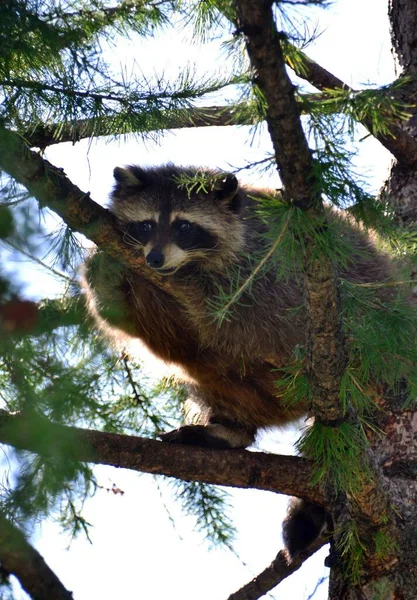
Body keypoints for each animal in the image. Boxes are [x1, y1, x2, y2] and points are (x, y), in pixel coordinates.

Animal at [81, 163, 394, 552]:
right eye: (146, 225)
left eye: (184, 227)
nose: (154, 259)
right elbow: (134, 320)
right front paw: (105, 271)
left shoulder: (270, 269)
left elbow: (233, 320)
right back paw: (230, 428)